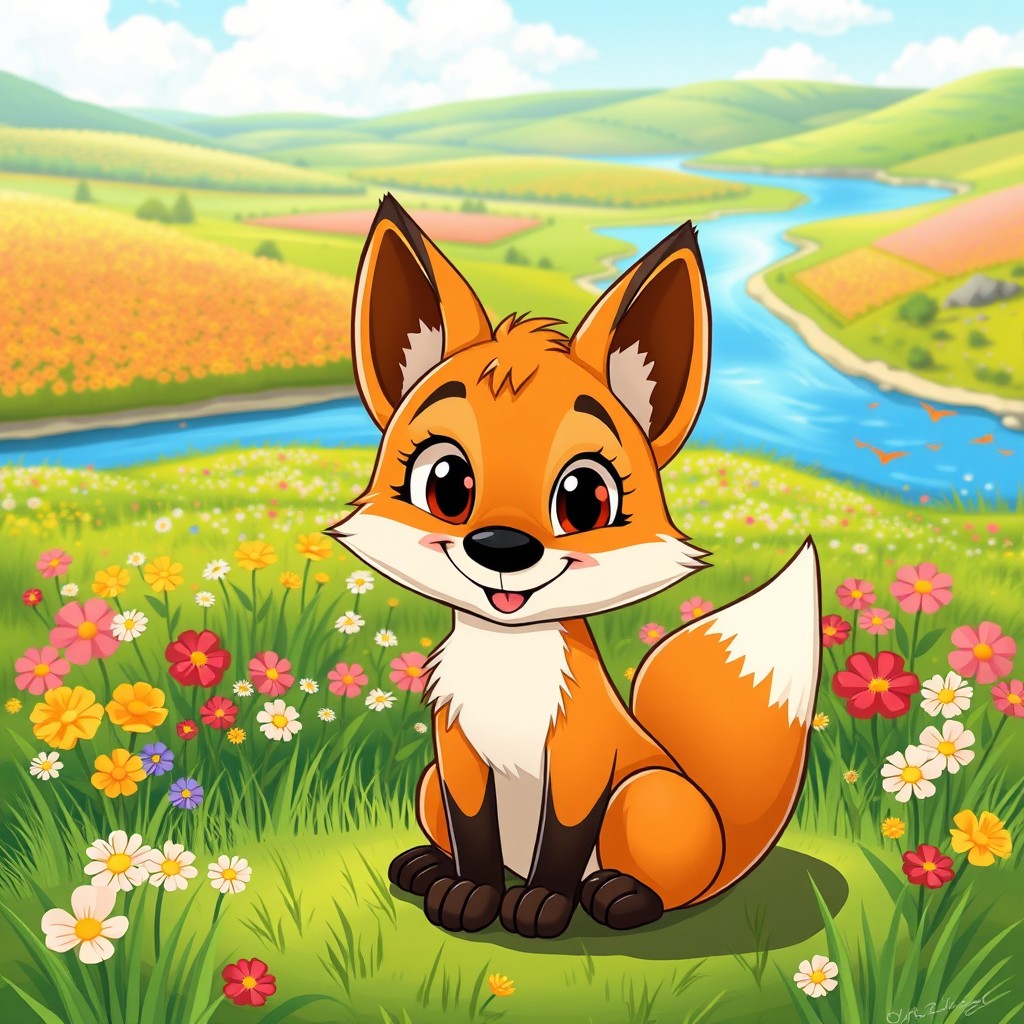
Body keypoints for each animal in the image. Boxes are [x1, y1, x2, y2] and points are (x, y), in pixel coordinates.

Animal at [326, 194, 822, 939]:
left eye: (586, 498)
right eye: (445, 484)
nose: (502, 548)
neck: (509, 668)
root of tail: (727, 851)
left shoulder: (584, 759)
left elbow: (563, 839)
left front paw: (541, 908)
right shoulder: (458, 758)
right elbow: (473, 837)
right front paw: (468, 896)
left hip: (647, 796)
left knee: (663, 889)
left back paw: (617, 896)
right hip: (427, 786)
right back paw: (426, 868)